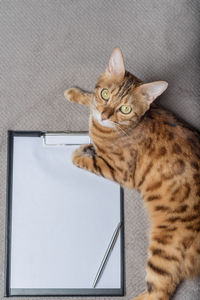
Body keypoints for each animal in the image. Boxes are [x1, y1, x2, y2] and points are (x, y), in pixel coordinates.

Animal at [64, 47, 200, 300]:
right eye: (106, 94)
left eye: (125, 109)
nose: (105, 116)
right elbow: (90, 101)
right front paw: (77, 94)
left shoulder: (120, 171)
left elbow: (87, 161)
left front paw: (80, 152)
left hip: (166, 244)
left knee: (160, 291)